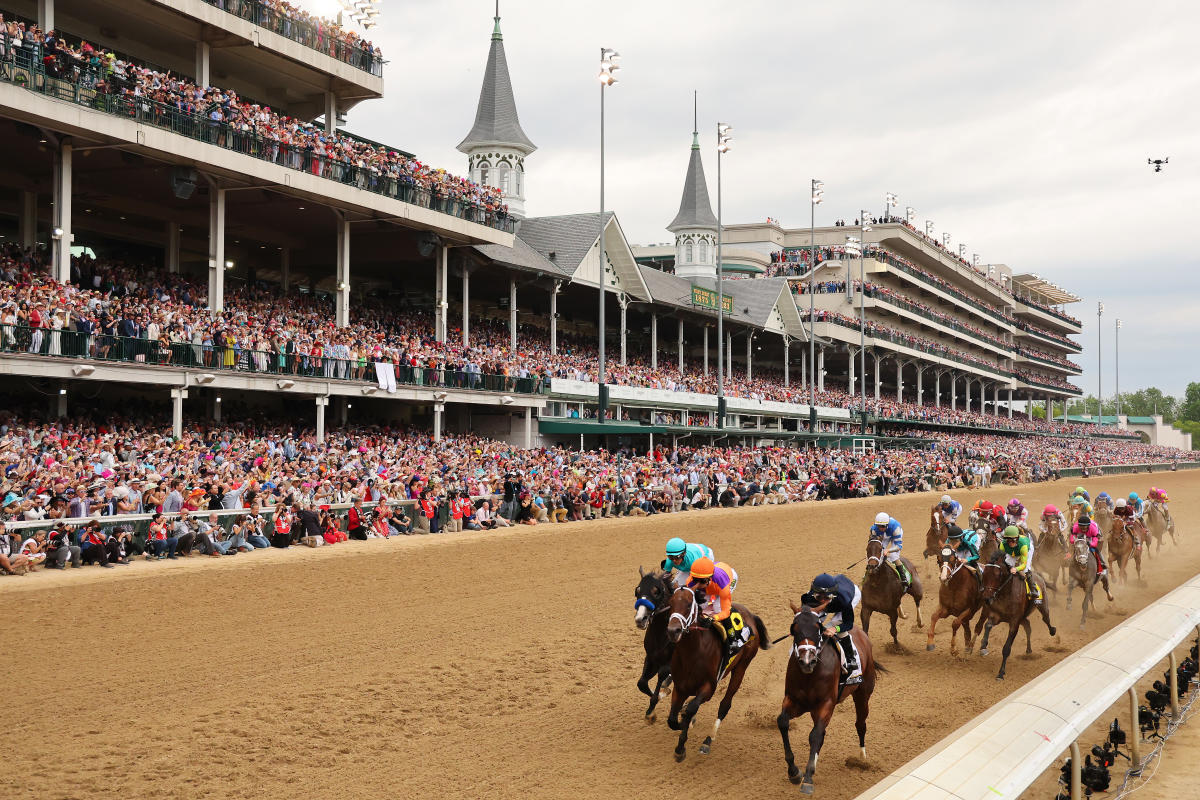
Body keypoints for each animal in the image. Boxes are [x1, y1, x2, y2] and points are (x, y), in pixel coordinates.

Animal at [657, 585, 768, 762]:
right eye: (671, 603)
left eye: (689, 604)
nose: (673, 631)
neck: (692, 653)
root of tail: (751, 614)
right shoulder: (680, 687)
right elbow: (672, 719)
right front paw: (682, 726)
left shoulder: (708, 688)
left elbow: (691, 709)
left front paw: (681, 745)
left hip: (742, 667)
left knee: (725, 705)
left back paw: (708, 741)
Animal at [777, 606, 883, 796]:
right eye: (794, 628)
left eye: (817, 628)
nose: (807, 661)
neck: (810, 675)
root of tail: (863, 635)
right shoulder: (795, 701)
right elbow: (783, 722)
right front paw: (794, 772)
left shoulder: (826, 704)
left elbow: (815, 735)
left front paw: (808, 778)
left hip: (863, 694)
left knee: (860, 724)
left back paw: (862, 759)